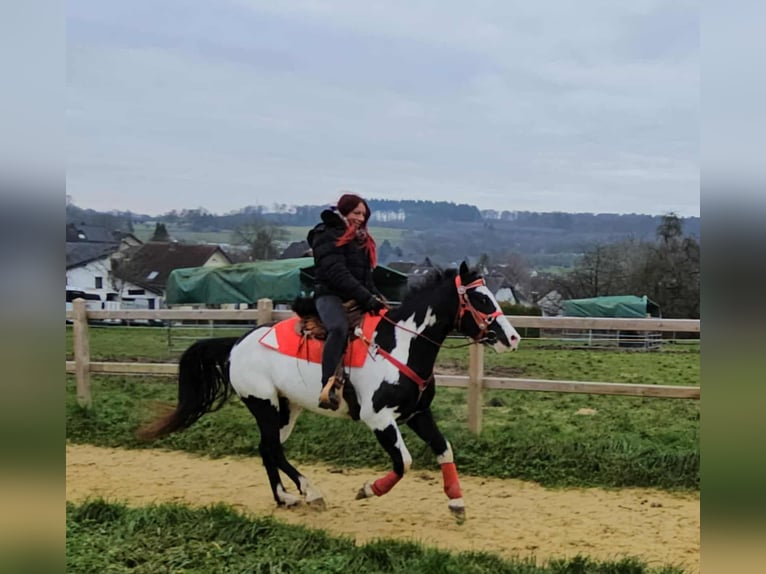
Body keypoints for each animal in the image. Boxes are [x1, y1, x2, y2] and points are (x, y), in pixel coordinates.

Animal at [137, 262, 520, 521]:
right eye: (480, 298)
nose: (513, 337)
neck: (398, 344)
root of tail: (236, 344)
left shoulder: (416, 413)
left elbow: (444, 449)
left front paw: (456, 502)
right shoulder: (378, 418)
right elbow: (404, 462)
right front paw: (368, 490)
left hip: (286, 408)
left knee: (267, 448)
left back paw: (285, 498)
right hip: (263, 404)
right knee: (273, 449)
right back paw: (309, 492)